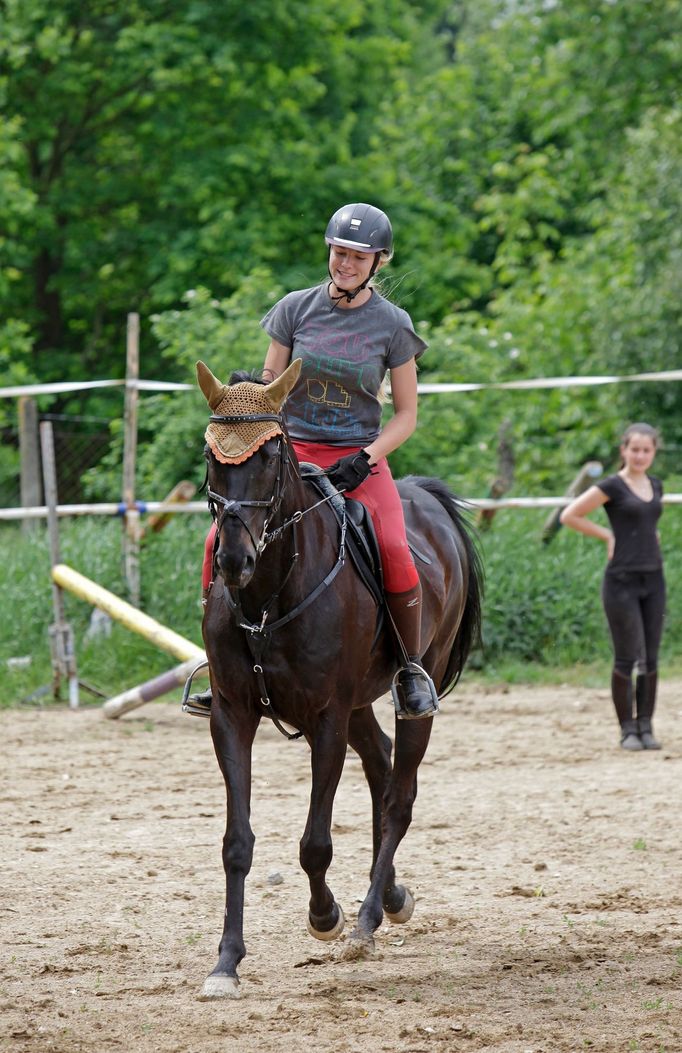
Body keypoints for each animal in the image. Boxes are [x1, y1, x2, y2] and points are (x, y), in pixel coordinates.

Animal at [194, 358, 482, 998]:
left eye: (271, 456)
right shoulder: (232, 714)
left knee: (400, 794)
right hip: (358, 705)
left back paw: (369, 920)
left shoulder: (325, 717)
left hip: (404, 692)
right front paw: (226, 963)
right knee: (379, 766)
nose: (233, 560)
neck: (269, 594)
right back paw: (391, 895)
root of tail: (425, 499)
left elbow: (315, 844)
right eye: (211, 457)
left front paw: (325, 916)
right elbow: (236, 844)